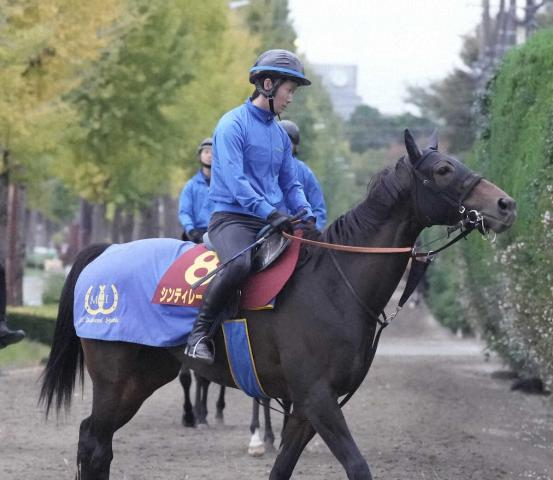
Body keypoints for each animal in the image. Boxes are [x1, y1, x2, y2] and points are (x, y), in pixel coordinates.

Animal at [40, 129, 516, 478]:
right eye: (443, 169)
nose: (505, 204)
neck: (334, 282)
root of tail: (104, 252)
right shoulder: (318, 399)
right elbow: (358, 467)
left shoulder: (305, 409)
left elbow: (281, 469)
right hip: (116, 381)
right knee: (93, 440)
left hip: (145, 376)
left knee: (98, 442)